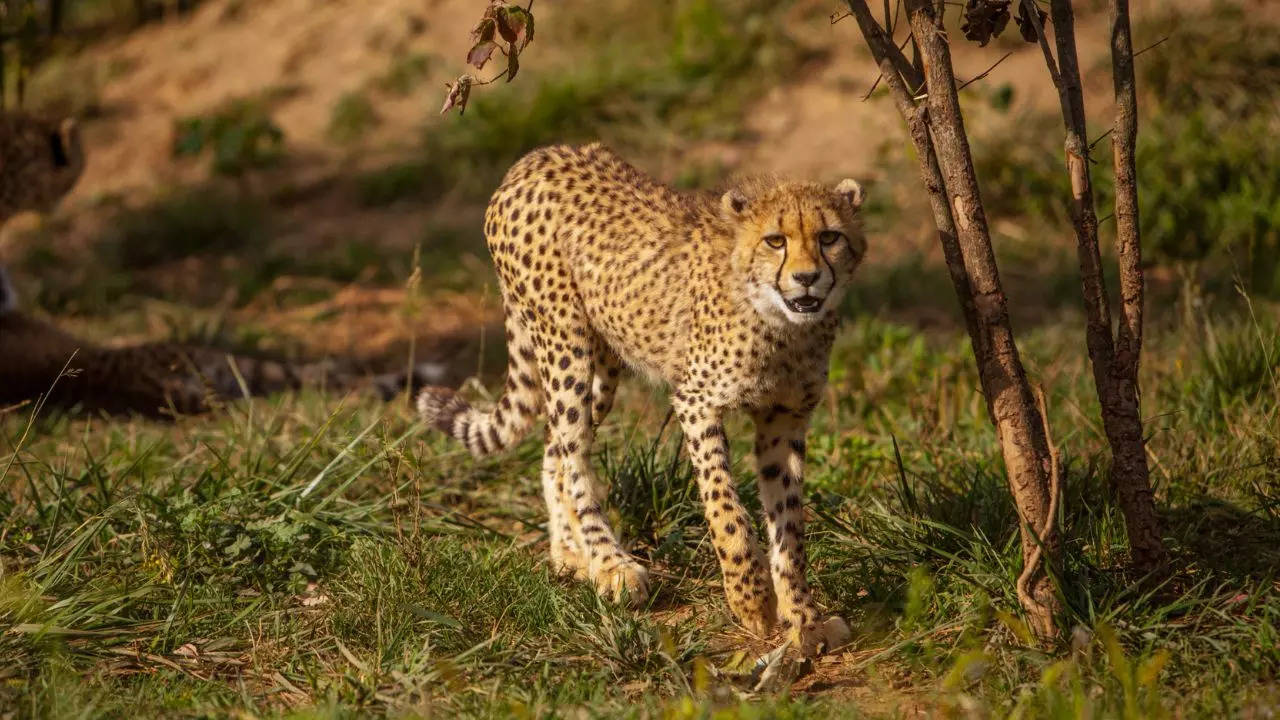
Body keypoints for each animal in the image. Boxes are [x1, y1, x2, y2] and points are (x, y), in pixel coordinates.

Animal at [422, 142, 870, 653]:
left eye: (830, 236)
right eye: (775, 241)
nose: (808, 278)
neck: (783, 327)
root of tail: (537, 155)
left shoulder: (785, 419)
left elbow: (790, 529)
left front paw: (805, 620)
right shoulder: (696, 401)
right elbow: (725, 507)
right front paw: (751, 599)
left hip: (603, 367)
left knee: (554, 449)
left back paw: (569, 553)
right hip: (565, 346)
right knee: (573, 456)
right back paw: (609, 565)